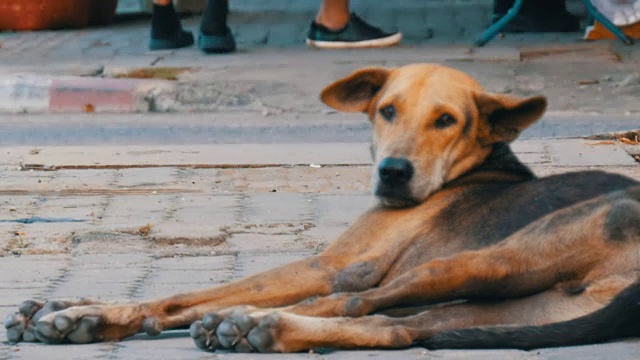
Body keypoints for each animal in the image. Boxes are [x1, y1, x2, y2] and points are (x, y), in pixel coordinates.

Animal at [5, 63, 640, 352]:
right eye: (386, 110)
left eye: (446, 120)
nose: (393, 173)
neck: (470, 167)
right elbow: (188, 299)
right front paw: (77, 311)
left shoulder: (330, 265)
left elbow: (183, 295)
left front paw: (90, 311)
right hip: (515, 306)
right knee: (394, 329)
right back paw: (267, 329)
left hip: (483, 262)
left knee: (353, 302)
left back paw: (253, 323)